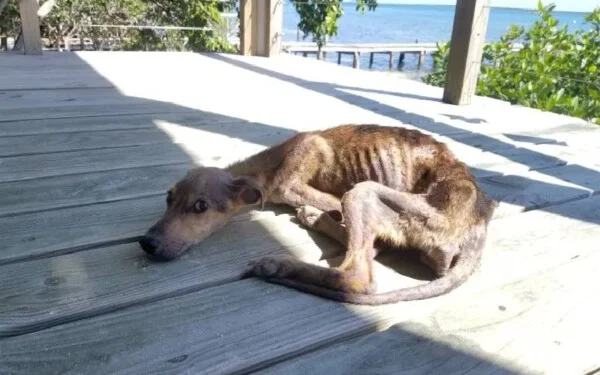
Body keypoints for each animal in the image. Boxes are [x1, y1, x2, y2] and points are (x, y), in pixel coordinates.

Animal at [141, 125, 496, 306]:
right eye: (169, 198)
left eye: (200, 206)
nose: (147, 243)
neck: (271, 162)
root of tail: (479, 223)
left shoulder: (294, 185)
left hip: (364, 192)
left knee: (359, 274)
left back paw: (283, 257)